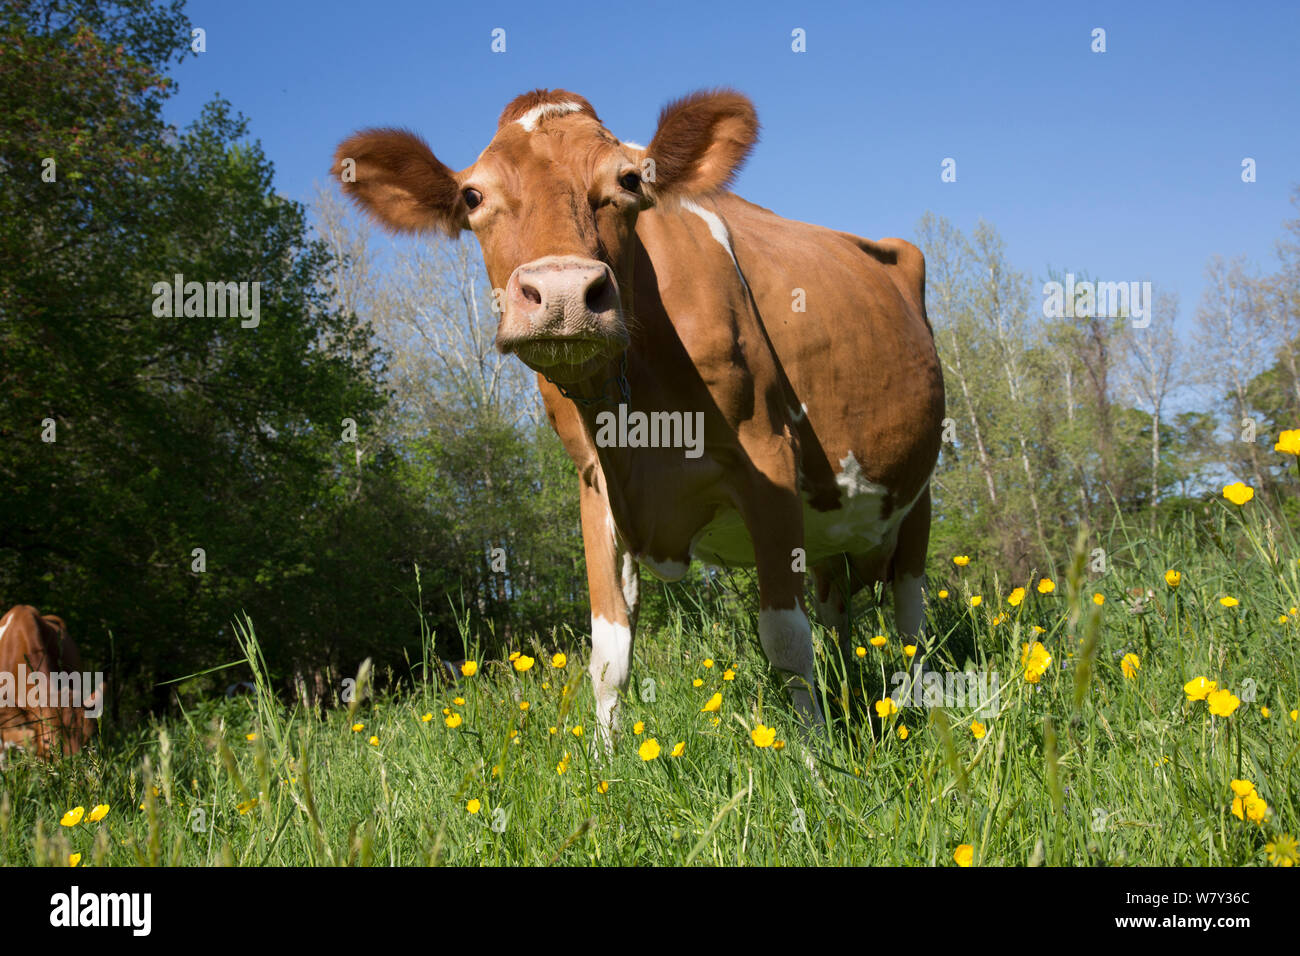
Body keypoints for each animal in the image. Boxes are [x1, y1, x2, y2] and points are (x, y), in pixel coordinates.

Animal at [335, 89, 946, 749]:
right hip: (835, 527)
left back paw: (922, 711)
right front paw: (604, 760)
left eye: (628, 180)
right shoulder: (596, 486)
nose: (564, 294)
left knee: (911, 622)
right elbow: (608, 656)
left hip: (918, 495)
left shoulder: (770, 459)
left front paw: (814, 757)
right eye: (472, 196)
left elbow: (785, 641)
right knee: (839, 614)